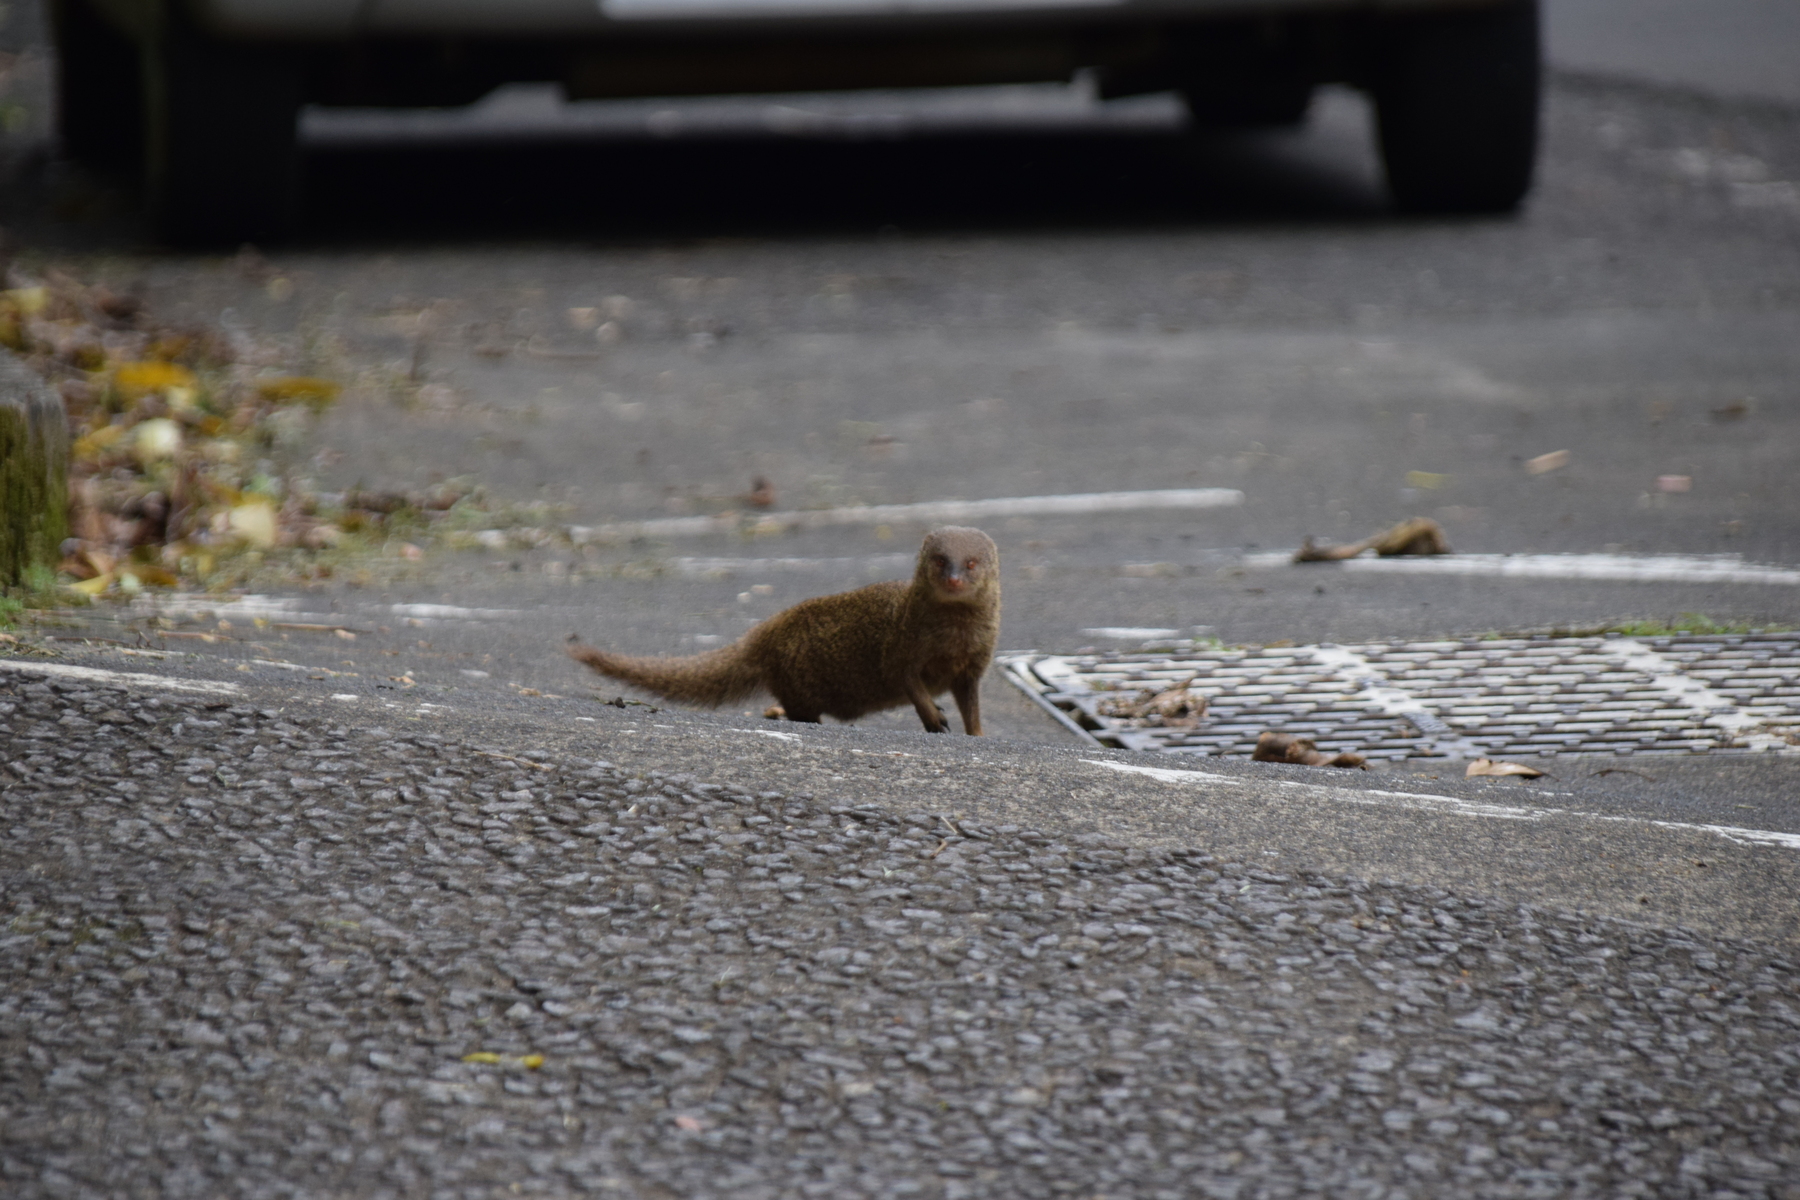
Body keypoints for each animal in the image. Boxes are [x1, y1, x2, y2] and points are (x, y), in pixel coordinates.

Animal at [567, 526, 1000, 734]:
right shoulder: (902, 646)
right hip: (797, 681)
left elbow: (972, 707)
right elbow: (909, 682)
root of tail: (763, 633)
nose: (954, 578)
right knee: (798, 710)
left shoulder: (974, 665)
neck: (953, 638)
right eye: (940, 559)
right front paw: (935, 719)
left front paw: (976, 734)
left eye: (972, 562)